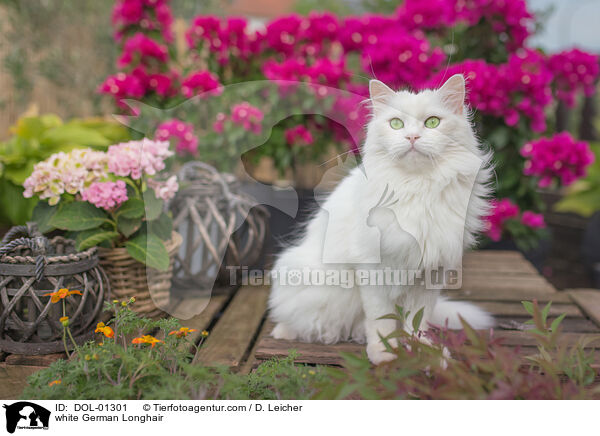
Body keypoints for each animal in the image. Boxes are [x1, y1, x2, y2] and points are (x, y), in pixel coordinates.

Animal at [270, 75, 494, 364]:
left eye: (432, 122)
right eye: (396, 124)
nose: (412, 136)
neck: (417, 188)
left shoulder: (430, 274)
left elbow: (417, 322)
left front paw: (424, 351)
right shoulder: (373, 270)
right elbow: (380, 320)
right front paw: (385, 352)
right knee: (299, 318)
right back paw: (287, 332)